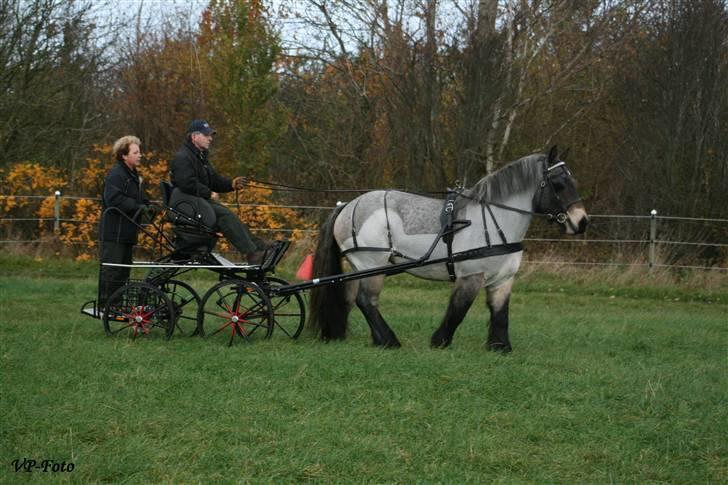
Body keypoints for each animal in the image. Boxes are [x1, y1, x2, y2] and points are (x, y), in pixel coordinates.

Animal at [306, 146, 584, 350]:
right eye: (559, 183)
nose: (582, 221)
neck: (495, 220)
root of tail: (348, 205)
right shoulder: (471, 275)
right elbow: (458, 309)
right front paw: (440, 341)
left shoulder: (503, 280)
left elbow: (500, 313)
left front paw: (500, 347)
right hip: (372, 264)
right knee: (366, 300)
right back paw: (389, 340)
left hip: (360, 267)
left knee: (350, 297)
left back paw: (363, 337)